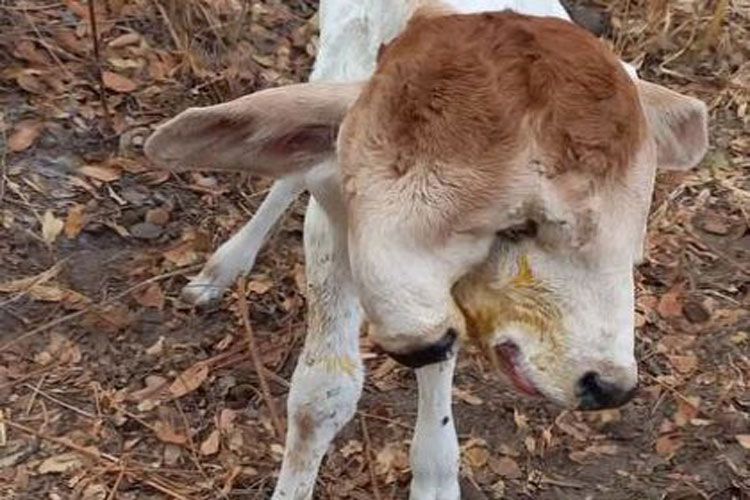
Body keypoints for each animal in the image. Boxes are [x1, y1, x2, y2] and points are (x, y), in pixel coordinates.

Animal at [142, 1, 712, 498]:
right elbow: (321, 396)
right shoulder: (335, 217)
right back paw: (222, 267)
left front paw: (436, 479)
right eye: (516, 226)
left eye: (632, 231)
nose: (606, 385)